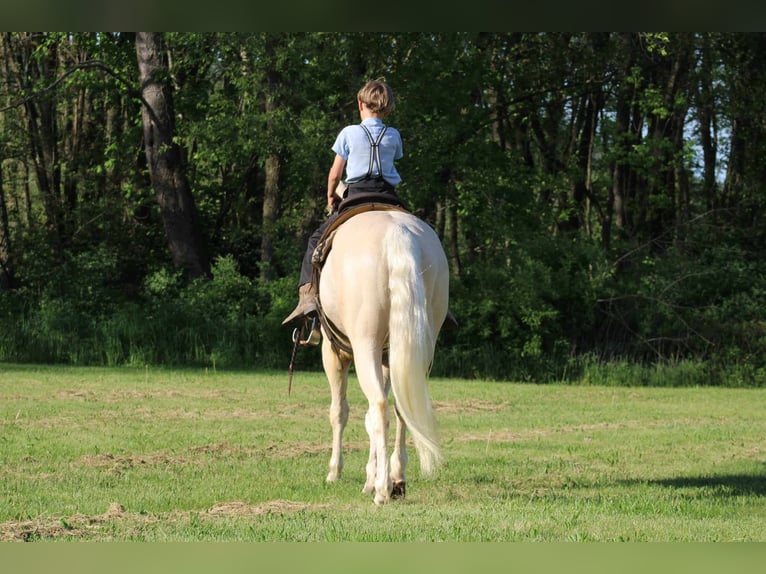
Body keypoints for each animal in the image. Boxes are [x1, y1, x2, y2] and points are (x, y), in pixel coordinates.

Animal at [316, 206, 452, 504]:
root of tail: (398, 234)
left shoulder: (333, 353)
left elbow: (339, 411)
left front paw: (335, 472)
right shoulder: (389, 359)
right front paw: (371, 475)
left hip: (364, 345)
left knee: (379, 406)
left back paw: (382, 490)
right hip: (415, 348)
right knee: (402, 407)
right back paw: (396, 477)